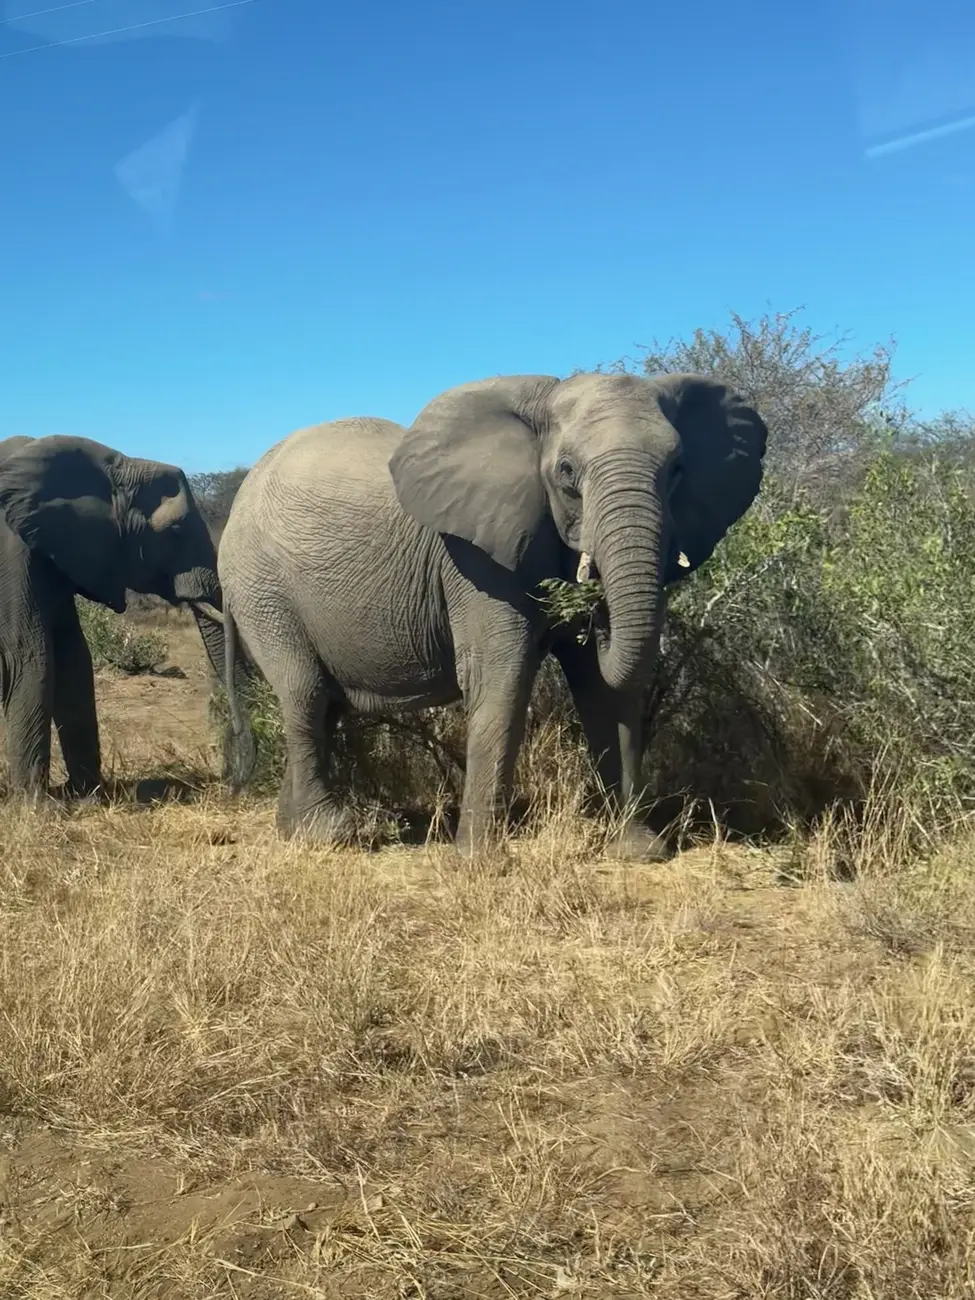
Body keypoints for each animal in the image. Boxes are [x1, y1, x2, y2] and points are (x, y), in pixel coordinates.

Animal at [0, 431, 256, 795]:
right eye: (175, 530)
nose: (233, 783)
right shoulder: (12, 552)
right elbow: (30, 656)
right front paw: (35, 804)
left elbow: (72, 657)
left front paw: (88, 797)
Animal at [219, 371, 769, 857]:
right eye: (567, 472)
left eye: (677, 470)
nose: (597, 615)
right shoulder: (473, 558)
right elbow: (501, 675)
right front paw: (480, 861)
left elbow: (602, 689)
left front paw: (638, 852)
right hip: (260, 588)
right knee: (305, 693)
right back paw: (330, 834)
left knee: (326, 706)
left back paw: (292, 830)